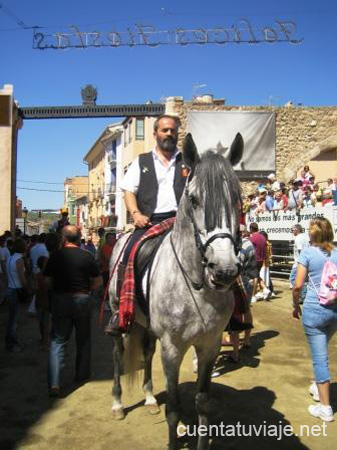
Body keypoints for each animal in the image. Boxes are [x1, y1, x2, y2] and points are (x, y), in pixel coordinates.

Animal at [109, 133, 243, 450]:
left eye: (237, 197)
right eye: (193, 199)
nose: (224, 269)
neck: (197, 286)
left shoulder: (209, 345)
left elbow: (203, 403)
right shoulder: (172, 349)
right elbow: (173, 408)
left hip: (147, 327)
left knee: (146, 352)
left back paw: (148, 398)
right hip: (118, 317)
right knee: (119, 354)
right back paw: (118, 403)